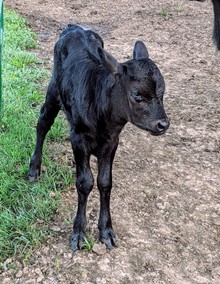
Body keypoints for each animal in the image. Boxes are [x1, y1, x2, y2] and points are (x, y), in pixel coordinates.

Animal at [28, 24, 169, 251]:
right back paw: (34, 168)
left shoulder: (112, 142)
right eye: (137, 94)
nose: (163, 124)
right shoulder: (78, 138)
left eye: (163, 91)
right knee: (43, 123)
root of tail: (74, 27)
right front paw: (78, 232)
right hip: (54, 89)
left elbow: (105, 182)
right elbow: (85, 182)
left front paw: (106, 230)